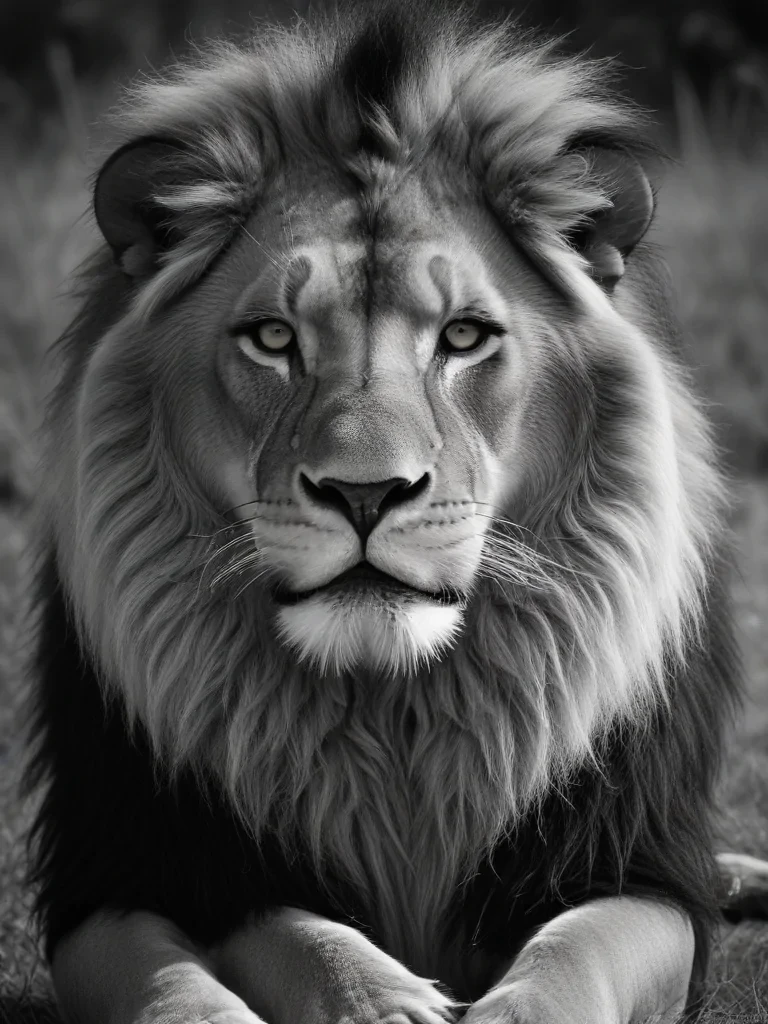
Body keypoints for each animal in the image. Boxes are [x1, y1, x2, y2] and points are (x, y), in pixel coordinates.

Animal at [23, 2, 766, 1022]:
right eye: (273, 338)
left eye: (464, 336)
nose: (366, 493)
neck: (390, 705)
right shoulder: (116, 876)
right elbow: (247, 951)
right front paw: (381, 998)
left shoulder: (634, 865)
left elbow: (571, 960)